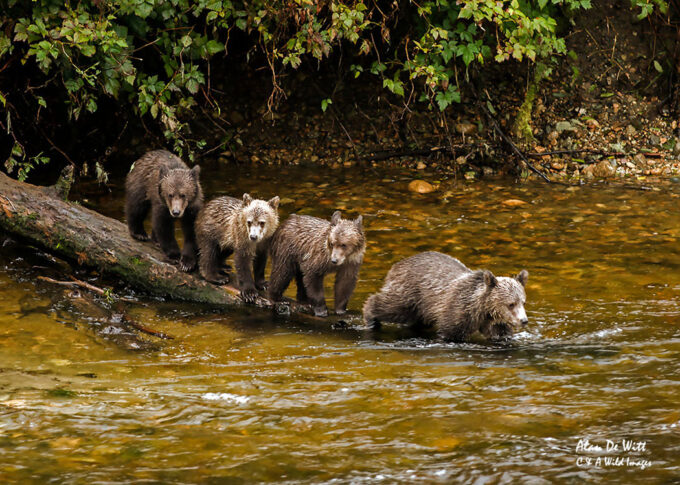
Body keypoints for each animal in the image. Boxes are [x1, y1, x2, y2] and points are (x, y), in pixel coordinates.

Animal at [362, 251, 529, 342]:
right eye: (511, 304)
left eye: (523, 302)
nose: (524, 320)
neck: (481, 310)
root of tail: (397, 264)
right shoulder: (457, 310)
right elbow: (450, 332)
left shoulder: (494, 322)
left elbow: (501, 335)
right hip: (411, 294)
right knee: (392, 306)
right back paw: (371, 318)